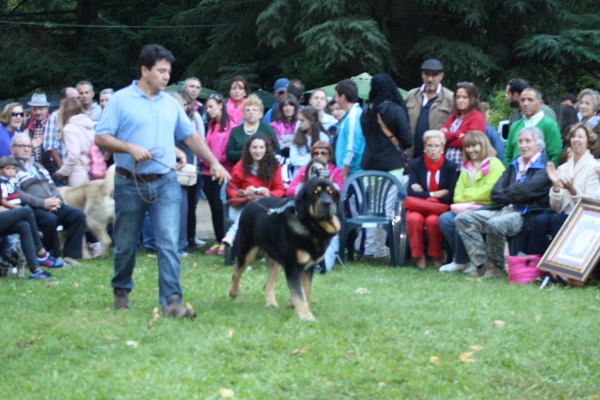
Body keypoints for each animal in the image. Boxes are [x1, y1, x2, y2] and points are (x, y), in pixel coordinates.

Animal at [227, 179, 340, 322]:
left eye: (331, 192)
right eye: (315, 192)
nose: (327, 203)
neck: (310, 226)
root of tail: (252, 203)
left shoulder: (308, 266)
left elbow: (306, 290)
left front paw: (291, 303)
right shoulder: (293, 266)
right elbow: (299, 292)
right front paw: (306, 317)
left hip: (276, 262)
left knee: (267, 284)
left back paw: (271, 304)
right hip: (246, 251)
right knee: (237, 271)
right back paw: (233, 292)